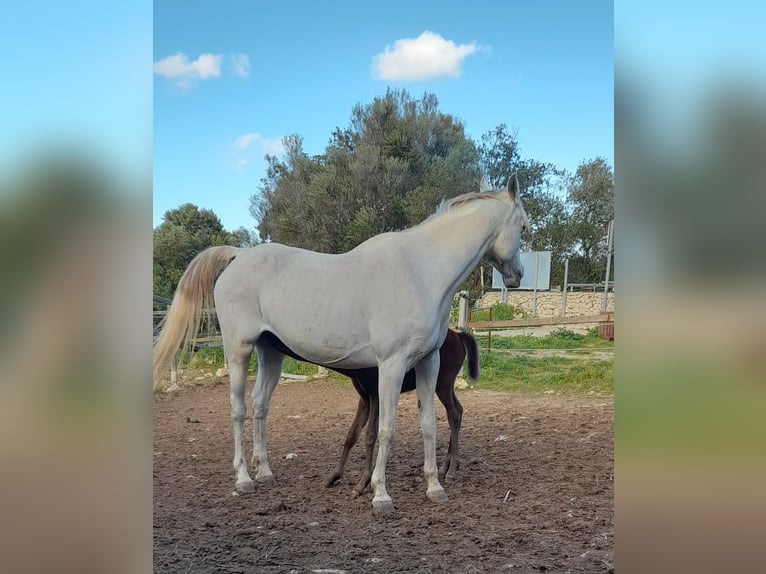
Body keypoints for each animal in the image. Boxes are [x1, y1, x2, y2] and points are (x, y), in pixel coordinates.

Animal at [323, 327, 480, 496]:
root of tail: (458, 335)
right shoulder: (364, 399)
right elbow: (351, 435)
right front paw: (333, 476)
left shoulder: (375, 395)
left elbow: (370, 436)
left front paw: (362, 483)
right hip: (444, 386)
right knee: (458, 410)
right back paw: (446, 468)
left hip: (443, 384)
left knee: (454, 414)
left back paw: (451, 471)